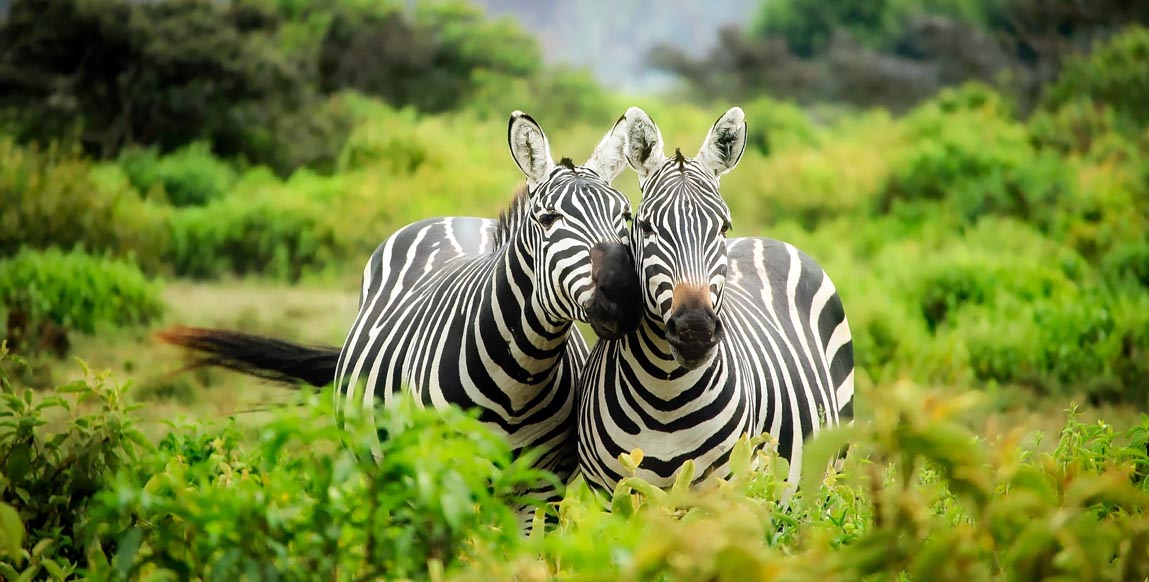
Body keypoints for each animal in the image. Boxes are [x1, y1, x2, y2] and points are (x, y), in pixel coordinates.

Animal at [159, 111, 648, 530]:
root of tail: (454, 217)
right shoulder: (440, 479)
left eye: (625, 216)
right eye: (548, 219)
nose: (624, 297)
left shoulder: (540, 492)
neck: (521, 377)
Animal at [574, 107, 854, 498]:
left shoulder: (724, 492)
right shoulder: (611, 495)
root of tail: (766, 239)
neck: (665, 396)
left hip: (830, 470)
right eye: (645, 227)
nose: (694, 330)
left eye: (723, 227)